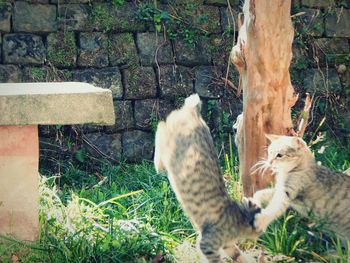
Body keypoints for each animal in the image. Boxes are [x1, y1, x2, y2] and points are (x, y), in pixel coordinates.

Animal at [154, 95, 262, 263]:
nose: (260, 235)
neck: (239, 215)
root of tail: (194, 113)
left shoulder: (227, 245)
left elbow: (239, 256)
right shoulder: (208, 243)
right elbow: (216, 260)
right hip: (168, 141)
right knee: (160, 126)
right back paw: (158, 166)